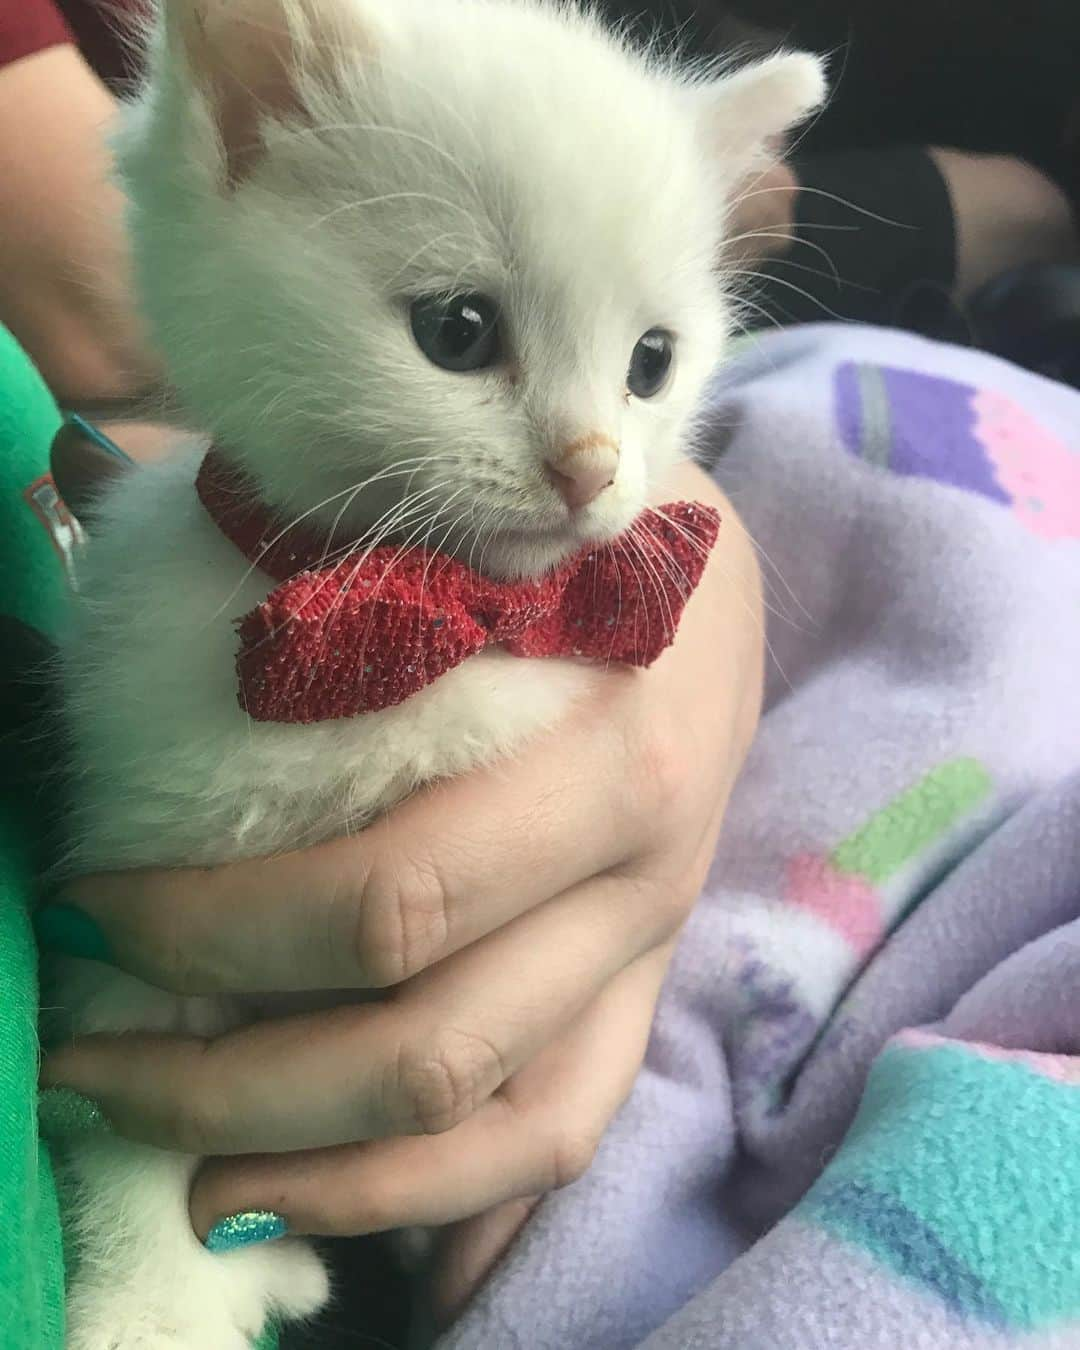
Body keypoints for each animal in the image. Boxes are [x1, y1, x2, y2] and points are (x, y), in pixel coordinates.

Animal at [54, 5, 820, 1344]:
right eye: (457, 331)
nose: (590, 465)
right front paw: (154, 1304)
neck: (423, 637)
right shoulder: (130, 917)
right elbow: (130, 1142)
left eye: (653, 361)